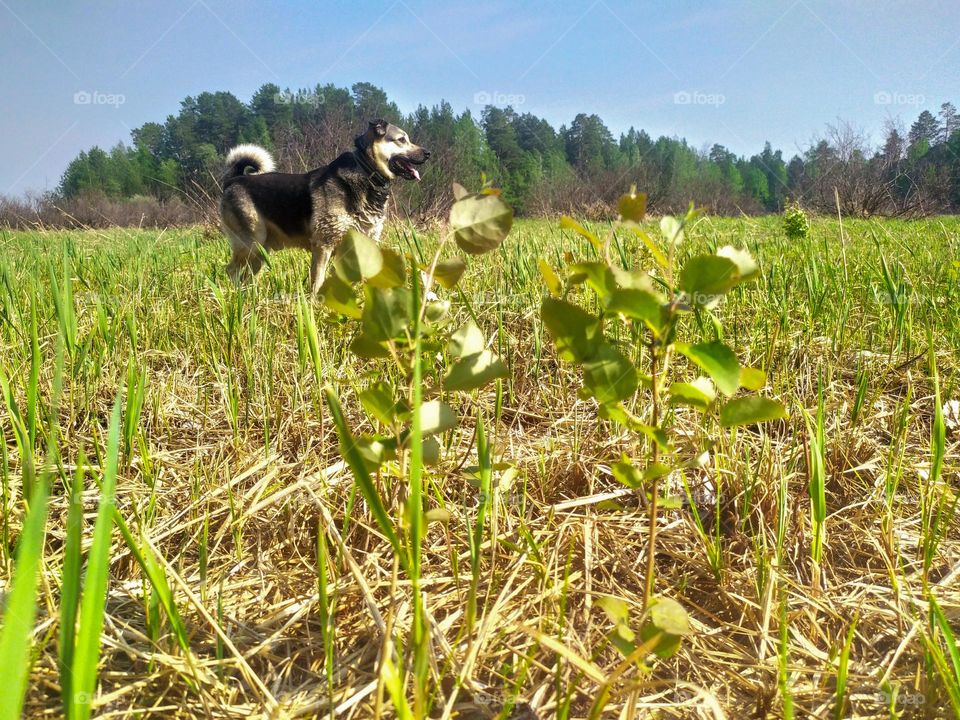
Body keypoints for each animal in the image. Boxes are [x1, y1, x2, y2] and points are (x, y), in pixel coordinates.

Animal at [219, 119, 430, 294]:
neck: (366, 171)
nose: (428, 153)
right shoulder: (323, 245)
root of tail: (234, 180)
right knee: (231, 271)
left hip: (260, 252)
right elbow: (318, 280)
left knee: (246, 276)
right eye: (401, 139)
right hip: (251, 244)